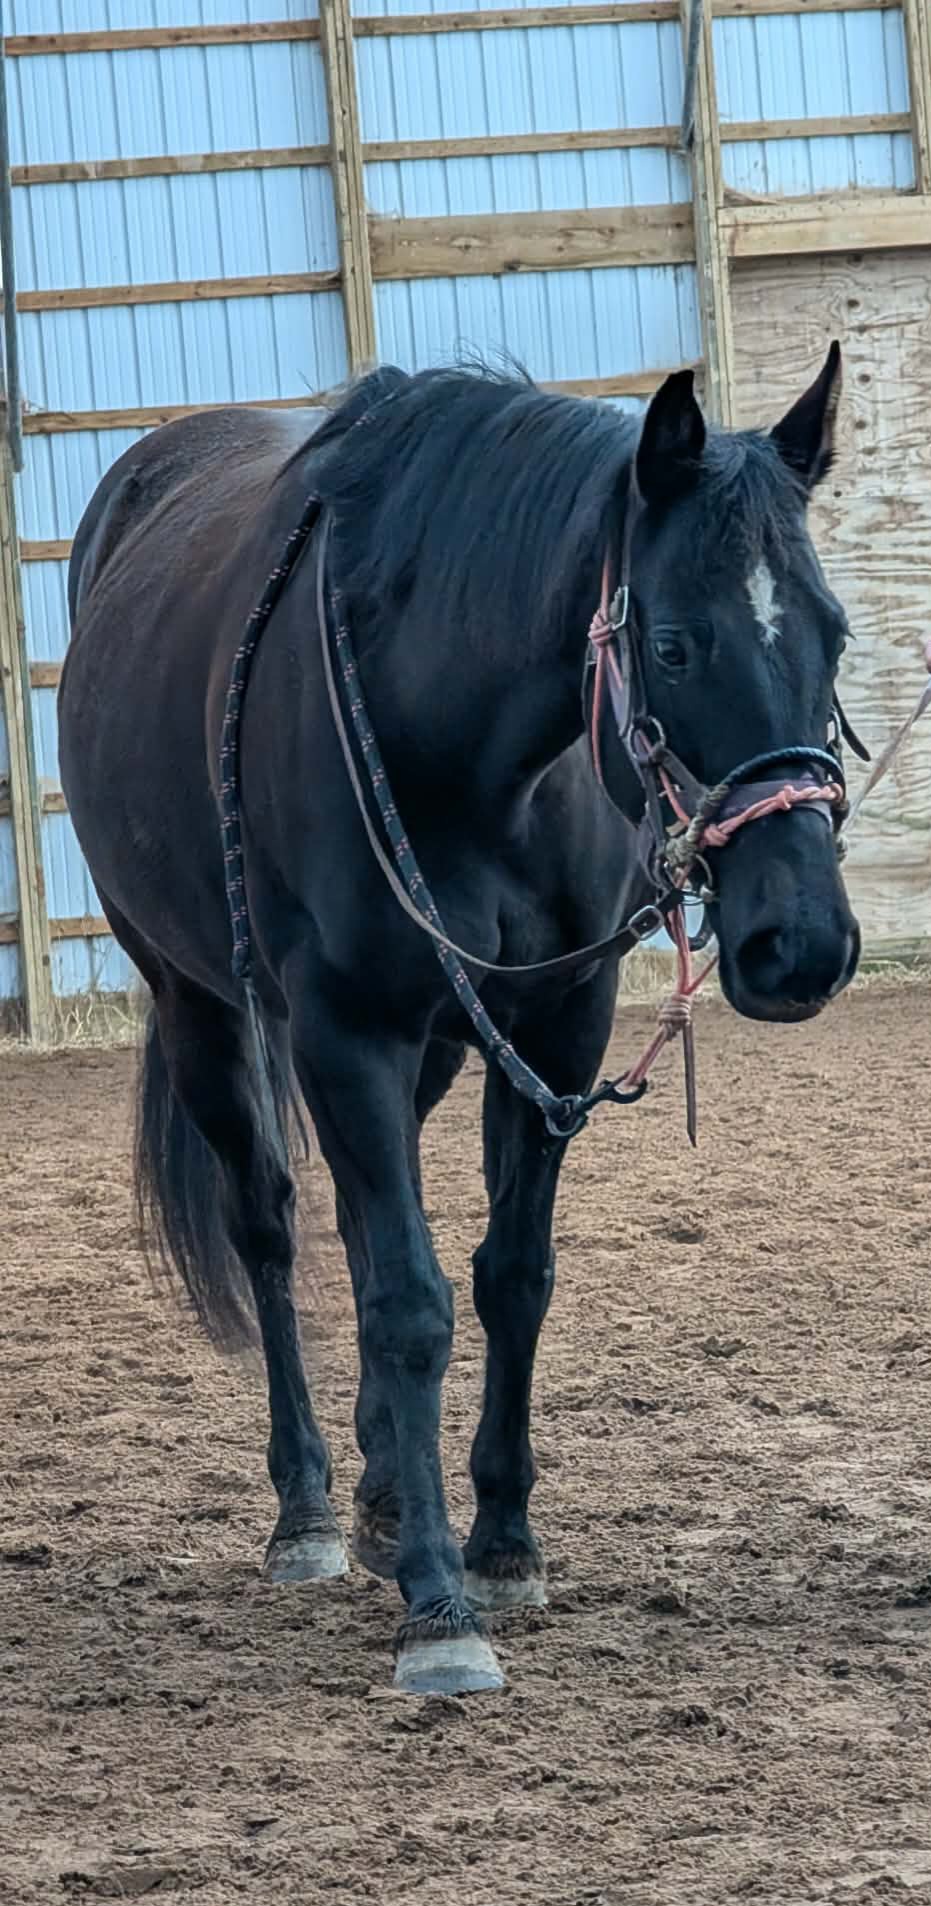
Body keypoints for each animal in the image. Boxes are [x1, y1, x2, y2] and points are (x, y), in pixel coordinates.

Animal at [59, 351, 861, 1696]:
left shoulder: (553, 1026)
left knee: (356, 1224)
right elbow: (408, 1302)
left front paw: (499, 1541)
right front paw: (438, 1605)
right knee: (273, 1227)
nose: (798, 943)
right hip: (204, 1009)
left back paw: (385, 1490)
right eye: (675, 643)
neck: (465, 740)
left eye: (832, 632)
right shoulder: (344, 1029)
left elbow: (507, 1278)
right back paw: (313, 1507)